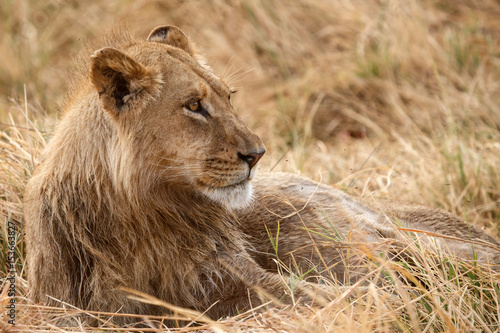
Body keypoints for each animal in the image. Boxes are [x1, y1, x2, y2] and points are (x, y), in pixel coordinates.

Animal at [24, 25, 500, 324]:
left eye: (228, 96)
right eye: (193, 105)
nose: (257, 154)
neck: (146, 216)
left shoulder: (244, 277)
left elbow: (315, 296)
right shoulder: (72, 309)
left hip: (414, 241)